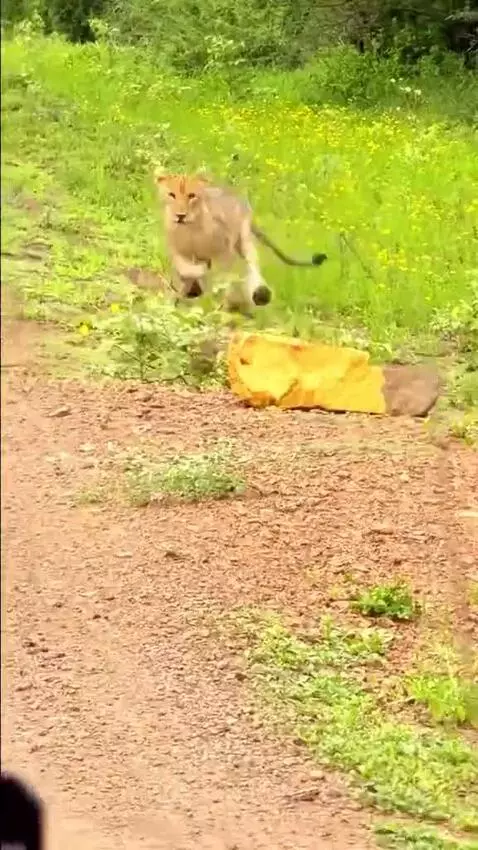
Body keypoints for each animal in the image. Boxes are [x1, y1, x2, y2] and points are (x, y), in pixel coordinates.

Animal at [154, 169, 327, 311]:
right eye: (171, 195)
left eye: (191, 196)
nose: (180, 216)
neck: (189, 230)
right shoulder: (177, 251)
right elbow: (184, 268)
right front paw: (183, 292)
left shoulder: (224, 251)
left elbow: (222, 278)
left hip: (244, 240)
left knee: (252, 266)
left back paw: (259, 294)